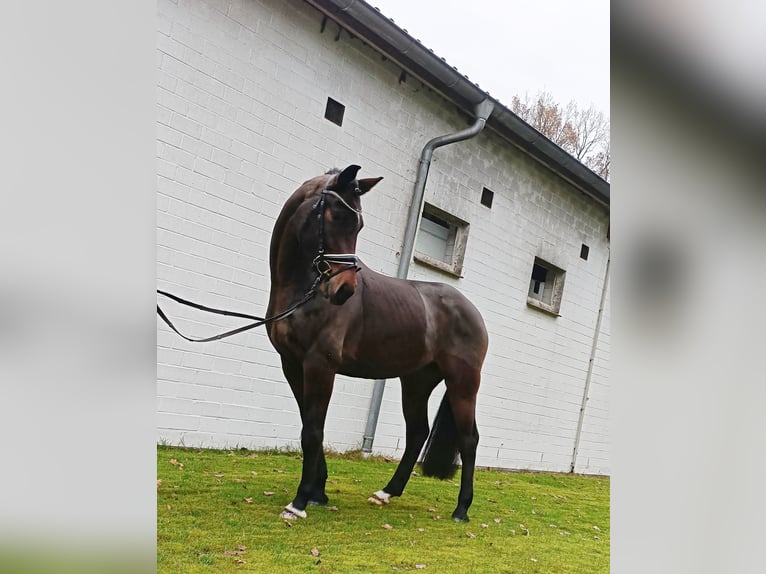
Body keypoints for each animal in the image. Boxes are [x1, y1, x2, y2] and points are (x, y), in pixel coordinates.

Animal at [268, 164, 488, 524]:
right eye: (336, 215)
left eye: (358, 223)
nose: (344, 289)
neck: (304, 292)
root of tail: (472, 310)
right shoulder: (292, 365)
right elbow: (310, 425)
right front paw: (318, 492)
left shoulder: (320, 365)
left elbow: (312, 431)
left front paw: (298, 502)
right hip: (416, 381)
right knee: (417, 433)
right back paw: (387, 492)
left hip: (463, 382)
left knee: (469, 440)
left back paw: (461, 509)